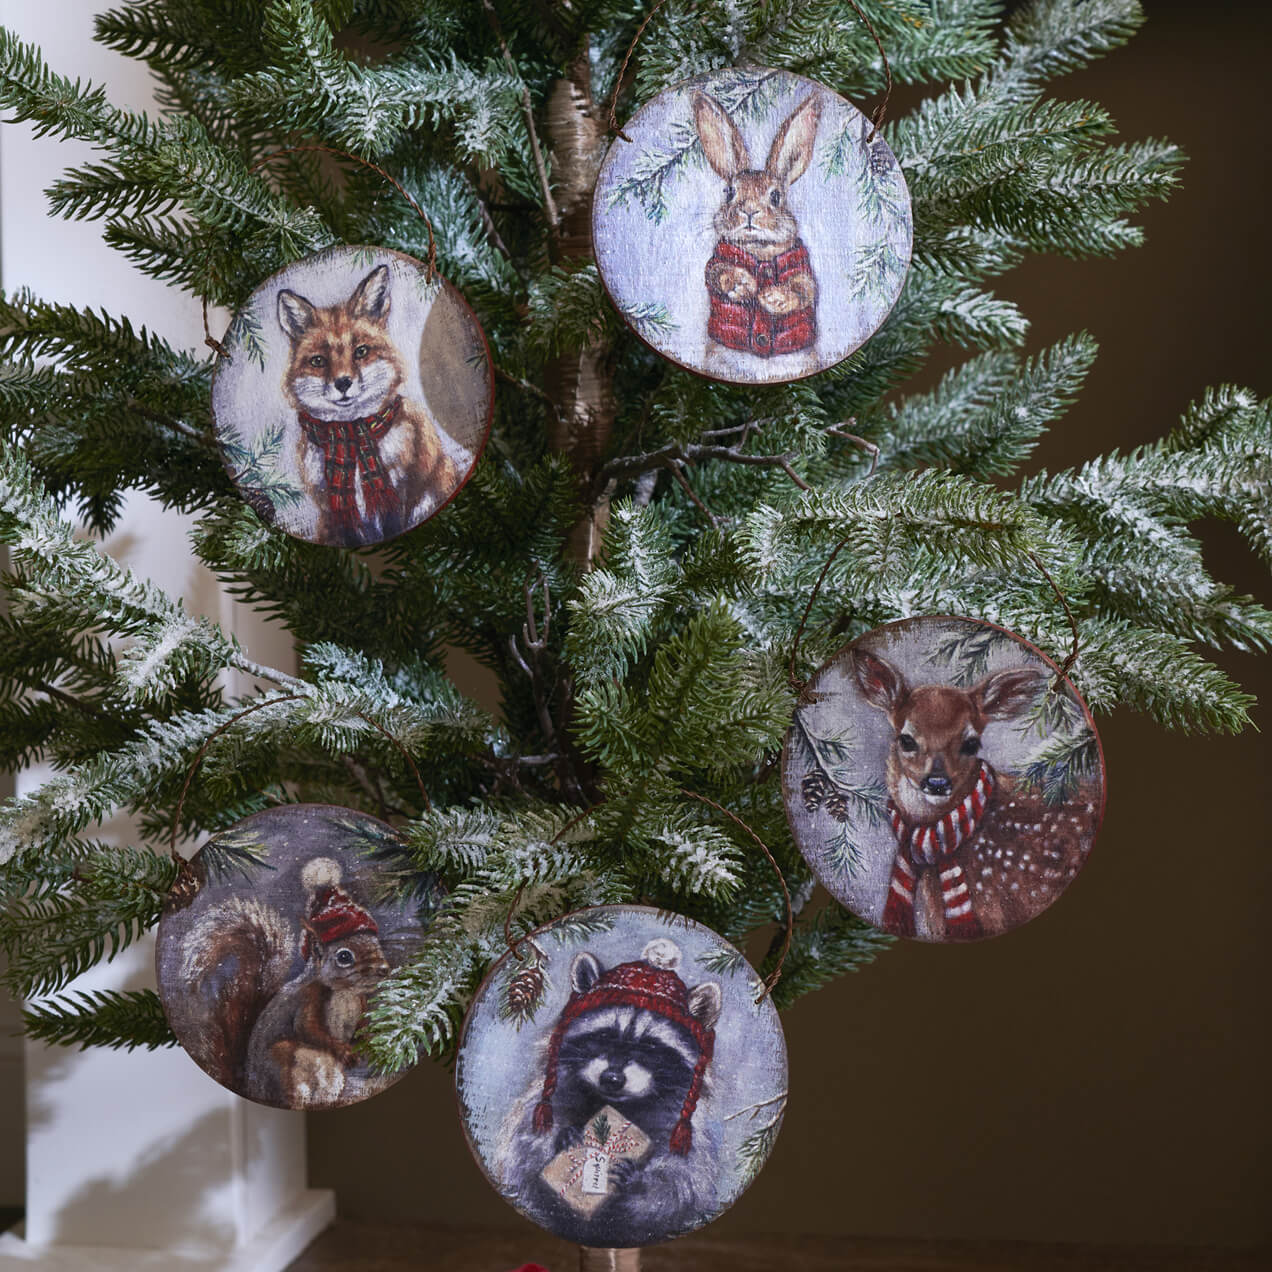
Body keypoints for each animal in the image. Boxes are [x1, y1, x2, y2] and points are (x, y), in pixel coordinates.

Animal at [496, 941, 722, 1246]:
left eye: (650, 1047)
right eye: (604, 1036)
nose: (612, 1079)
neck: (620, 1104)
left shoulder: (681, 1124)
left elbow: (683, 1182)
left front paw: (640, 1185)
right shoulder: (552, 1095)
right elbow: (525, 1149)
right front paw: (559, 1138)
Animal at [691, 89, 819, 363]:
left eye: (776, 196)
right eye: (729, 192)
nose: (749, 211)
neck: (760, 249)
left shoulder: (800, 265)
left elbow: (804, 287)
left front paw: (773, 298)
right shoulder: (718, 258)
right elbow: (715, 272)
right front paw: (742, 285)